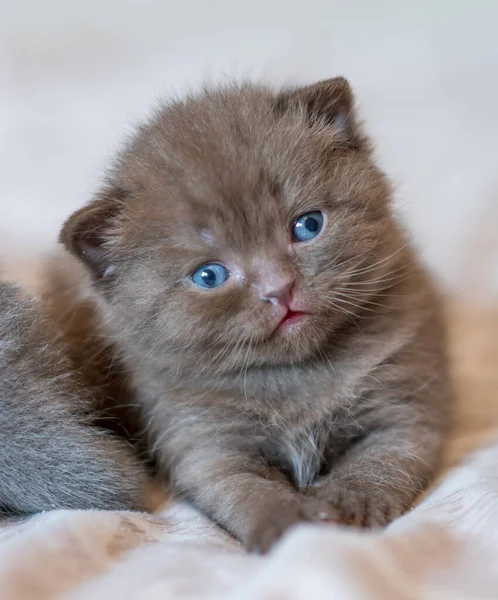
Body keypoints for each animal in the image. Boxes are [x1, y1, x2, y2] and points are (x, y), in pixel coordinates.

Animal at [57, 77, 452, 552]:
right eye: (209, 275)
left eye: (308, 225)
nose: (279, 289)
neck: (297, 377)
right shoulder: (205, 441)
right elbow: (246, 489)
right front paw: (289, 523)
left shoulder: (402, 406)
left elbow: (380, 462)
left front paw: (351, 503)